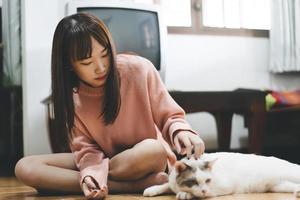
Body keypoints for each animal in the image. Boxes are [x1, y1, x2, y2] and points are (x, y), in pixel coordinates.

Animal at [143, 152, 300, 199]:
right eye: (193, 181)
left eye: (208, 180)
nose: (204, 190)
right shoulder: (172, 183)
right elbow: (166, 185)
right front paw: (152, 189)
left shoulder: (223, 187)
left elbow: (196, 194)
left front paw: (185, 194)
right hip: (280, 186)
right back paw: (297, 192)